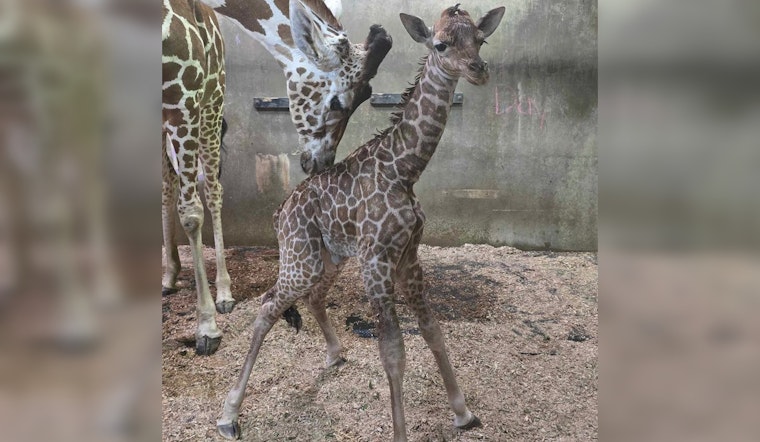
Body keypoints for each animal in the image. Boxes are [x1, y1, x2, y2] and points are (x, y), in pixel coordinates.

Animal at [162, 0, 391, 356]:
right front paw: (206, 328)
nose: (321, 163)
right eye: (338, 103)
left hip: (211, 95)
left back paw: (218, 292)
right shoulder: (178, 97)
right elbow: (189, 212)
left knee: (207, 188)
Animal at [216, 4, 505, 440]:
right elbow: (393, 351)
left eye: (481, 40)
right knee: (268, 306)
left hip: (331, 256)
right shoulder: (377, 261)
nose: (479, 69)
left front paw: (463, 413)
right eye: (441, 44)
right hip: (300, 258)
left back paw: (336, 355)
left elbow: (433, 331)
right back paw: (229, 414)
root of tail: (280, 210)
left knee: (314, 297)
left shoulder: (408, 258)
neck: (404, 169)